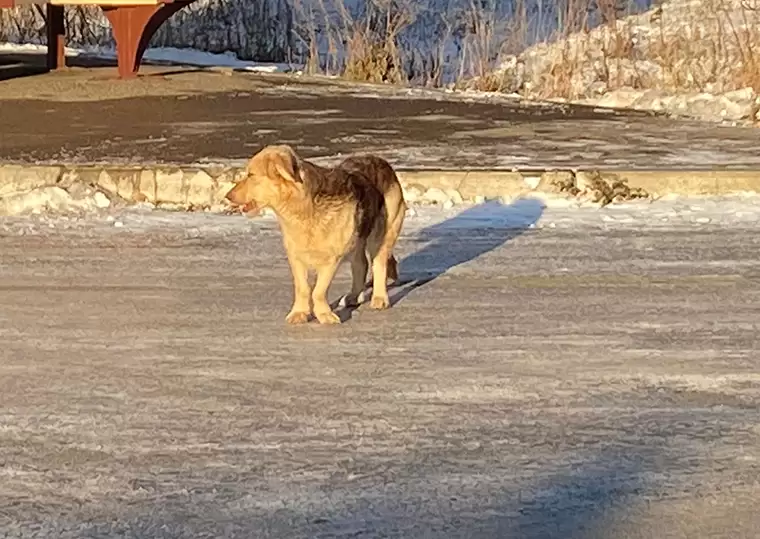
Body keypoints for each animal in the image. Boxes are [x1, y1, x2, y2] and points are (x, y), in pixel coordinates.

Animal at [224, 144, 406, 324]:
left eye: (251, 175)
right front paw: (299, 312)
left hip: (381, 235)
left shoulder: (331, 259)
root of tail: (381, 161)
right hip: (357, 238)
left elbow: (318, 291)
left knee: (378, 264)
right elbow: (303, 288)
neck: (302, 207)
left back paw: (379, 298)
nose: (227, 196)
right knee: (361, 264)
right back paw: (354, 296)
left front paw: (324, 314)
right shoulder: (295, 257)